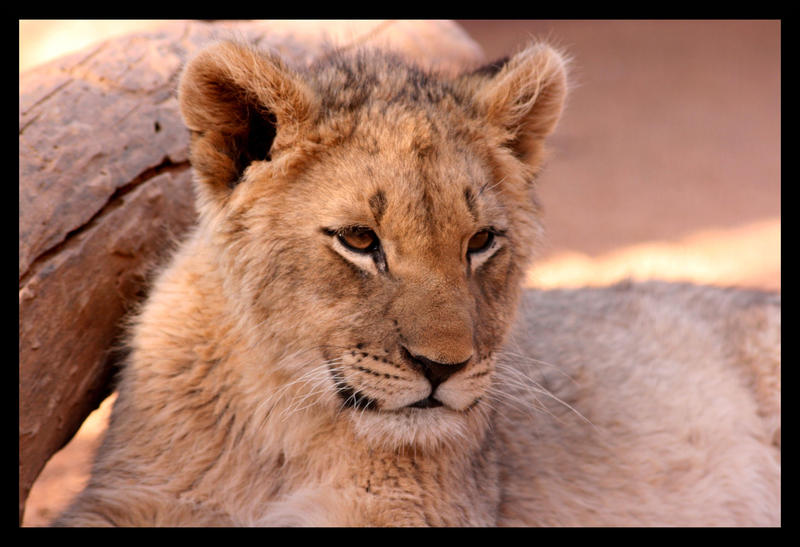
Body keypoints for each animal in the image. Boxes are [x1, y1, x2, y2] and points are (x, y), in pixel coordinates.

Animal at [54, 39, 780, 526]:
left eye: (481, 241)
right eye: (358, 240)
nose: (442, 368)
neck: (284, 427)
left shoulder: (423, 508)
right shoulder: (129, 493)